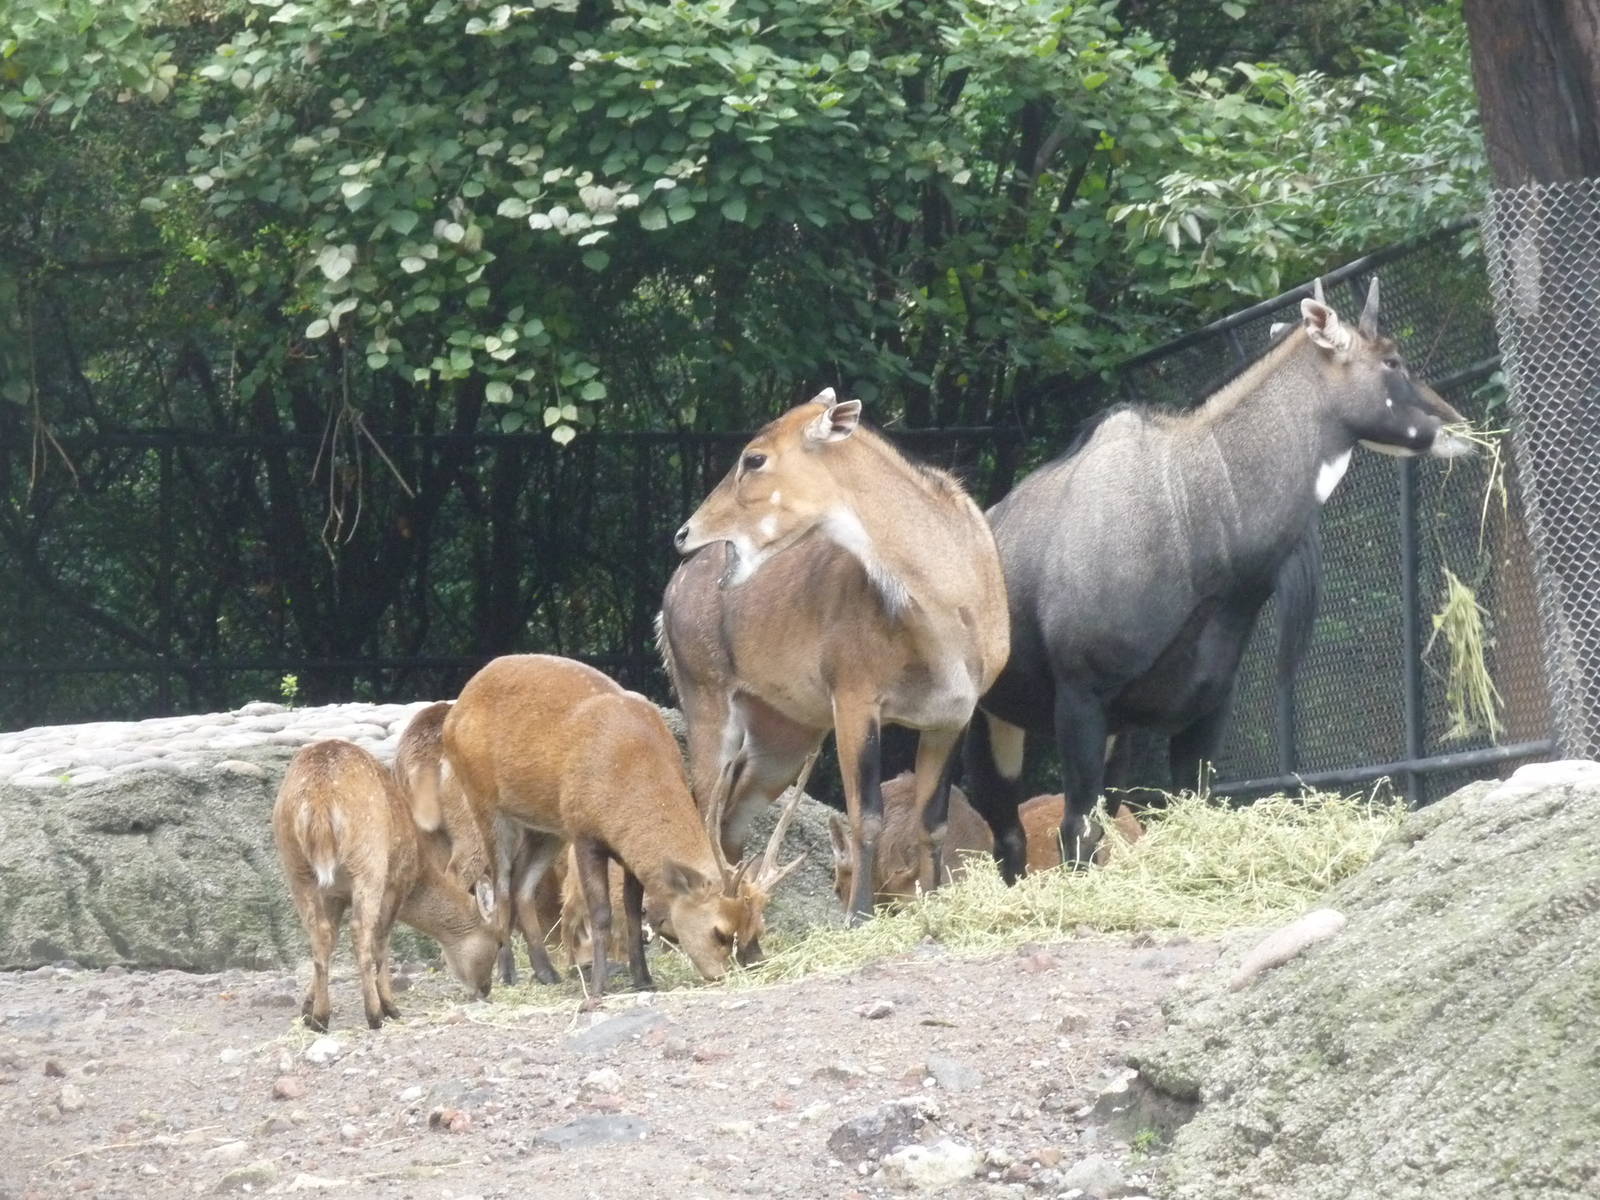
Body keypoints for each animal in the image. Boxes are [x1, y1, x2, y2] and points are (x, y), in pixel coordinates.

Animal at [272, 738, 500, 1031]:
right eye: (499, 942)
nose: (485, 988)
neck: (419, 868)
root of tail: (319, 801)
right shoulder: (396, 882)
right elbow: (382, 939)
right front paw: (390, 1007)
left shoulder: (335, 895)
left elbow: (330, 937)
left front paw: (306, 1008)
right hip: (368, 865)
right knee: (361, 931)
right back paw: (375, 1014)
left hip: (296, 867)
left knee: (318, 931)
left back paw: (320, 1019)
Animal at [439, 653, 807, 1004]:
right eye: (719, 931)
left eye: (757, 927)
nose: (723, 974)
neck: (628, 766)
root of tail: (456, 710)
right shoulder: (584, 832)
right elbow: (602, 912)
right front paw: (599, 987)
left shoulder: (625, 849)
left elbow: (632, 911)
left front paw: (644, 979)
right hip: (484, 802)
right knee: (500, 881)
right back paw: (507, 974)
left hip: (546, 827)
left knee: (521, 883)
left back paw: (546, 973)